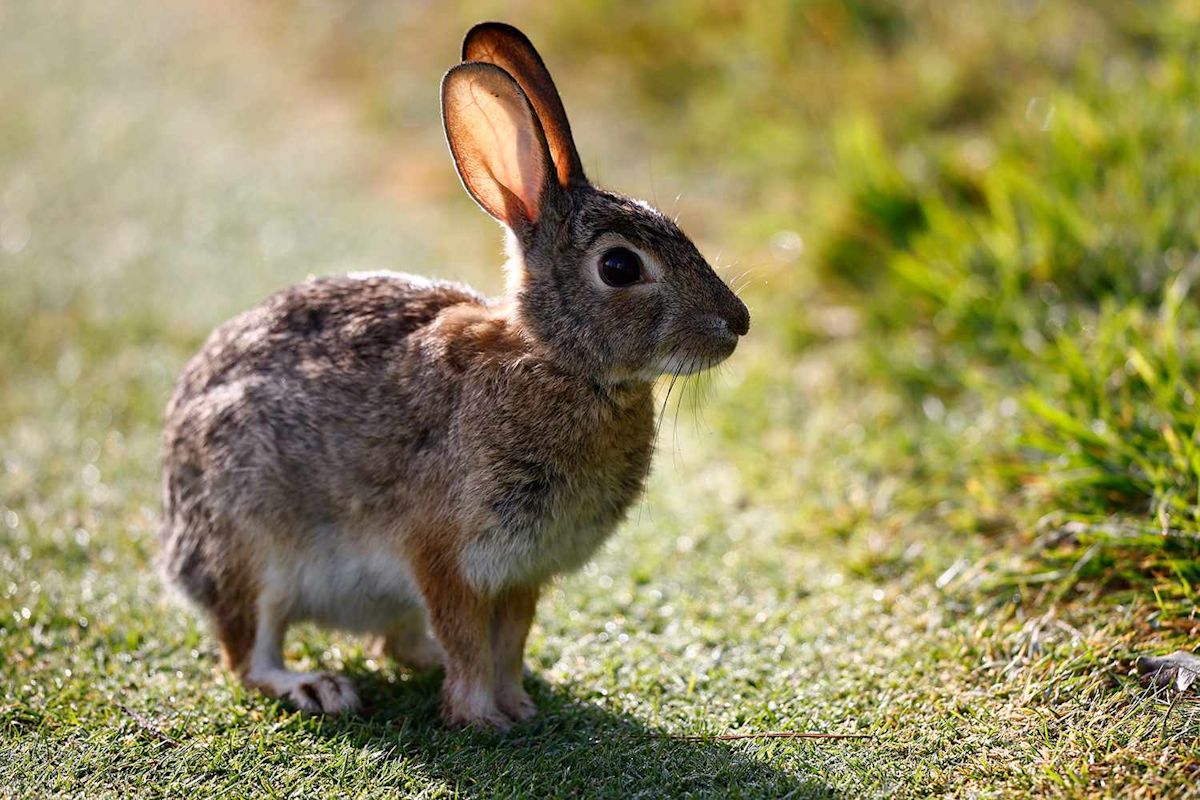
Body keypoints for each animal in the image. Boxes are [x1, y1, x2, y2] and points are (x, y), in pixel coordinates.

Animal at [160, 21, 749, 730]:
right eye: (619, 267)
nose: (738, 322)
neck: (556, 363)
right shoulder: (448, 555)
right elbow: (469, 638)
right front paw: (481, 717)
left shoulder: (523, 572)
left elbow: (509, 640)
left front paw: (518, 705)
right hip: (252, 544)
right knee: (248, 653)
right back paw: (315, 686)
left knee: (395, 644)